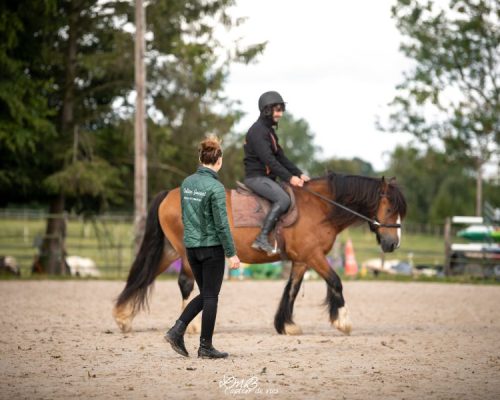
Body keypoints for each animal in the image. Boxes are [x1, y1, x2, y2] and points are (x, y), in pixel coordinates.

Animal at [113, 173, 406, 336]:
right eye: (390, 208)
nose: (393, 244)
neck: (320, 207)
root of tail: (169, 195)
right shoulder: (313, 256)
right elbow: (336, 281)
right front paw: (343, 321)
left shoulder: (302, 260)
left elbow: (291, 290)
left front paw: (286, 325)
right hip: (187, 253)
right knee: (185, 284)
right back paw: (192, 327)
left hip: (169, 250)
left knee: (144, 276)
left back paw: (123, 317)